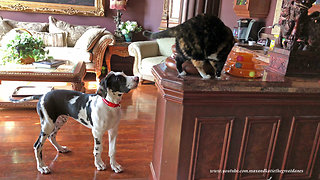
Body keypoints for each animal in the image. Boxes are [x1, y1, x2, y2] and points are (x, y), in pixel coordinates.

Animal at [10, 71, 138, 174]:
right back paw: (42, 167)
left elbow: (112, 150)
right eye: (119, 79)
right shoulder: (97, 132)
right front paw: (99, 164)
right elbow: (98, 149)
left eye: (124, 74)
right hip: (47, 125)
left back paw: (60, 149)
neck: (109, 105)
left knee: (52, 136)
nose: (137, 78)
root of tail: (42, 96)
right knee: (37, 146)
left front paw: (115, 165)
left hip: (59, 121)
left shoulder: (113, 131)